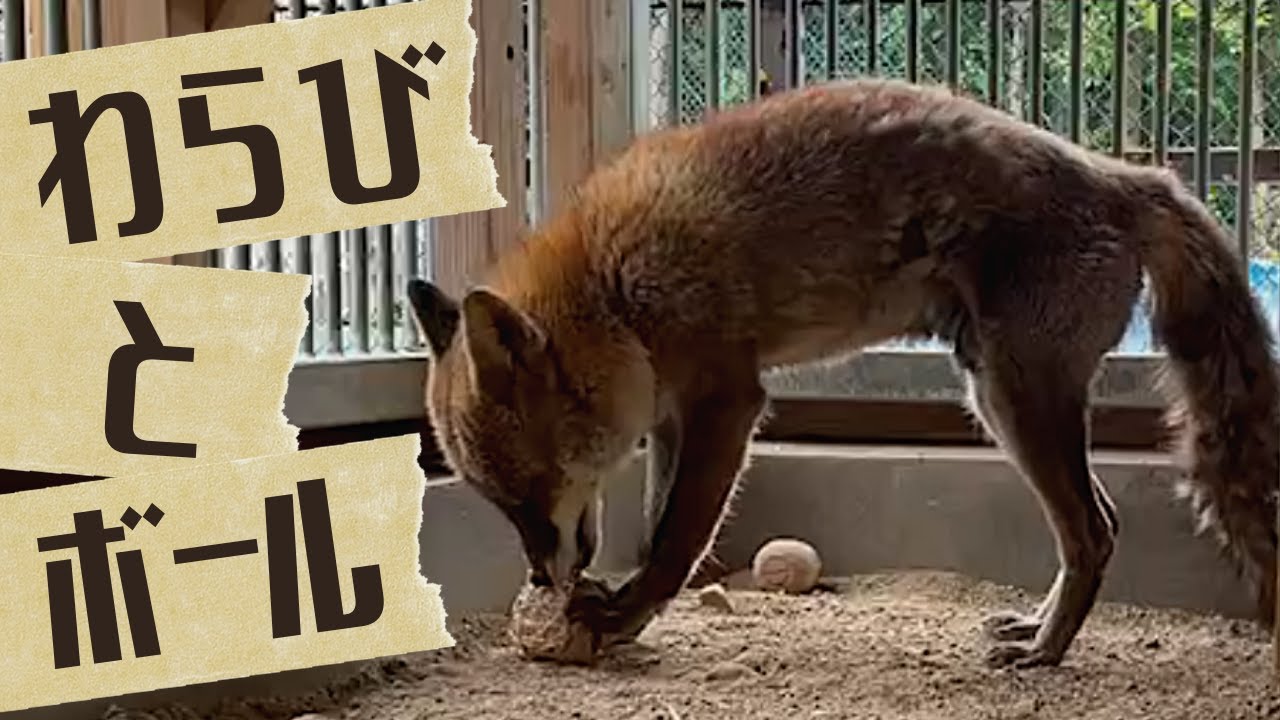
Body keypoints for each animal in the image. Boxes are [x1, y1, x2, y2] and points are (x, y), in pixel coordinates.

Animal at [407, 77, 1280, 669]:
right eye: (499, 503)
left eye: (528, 495)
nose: (538, 577)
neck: (613, 285)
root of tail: (1129, 177)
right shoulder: (671, 413)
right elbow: (658, 523)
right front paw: (620, 611)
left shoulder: (729, 400)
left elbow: (675, 539)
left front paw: (622, 616)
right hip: (995, 395)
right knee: (1101, 527)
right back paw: (1038, 628)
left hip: (1013, 395)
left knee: (1095, 532)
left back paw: (1046, 653)